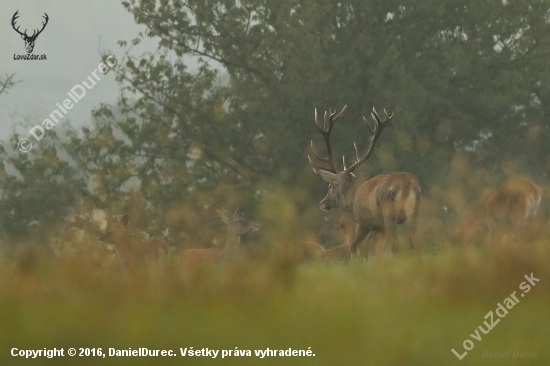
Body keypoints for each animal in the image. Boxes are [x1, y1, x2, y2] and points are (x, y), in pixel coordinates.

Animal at [310, 104, 422, 256]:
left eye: (330, 186)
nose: (322, 203)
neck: (353, 200)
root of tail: (407, 184)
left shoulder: (365, 222)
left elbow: (355, 246)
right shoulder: (379, 228)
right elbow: (374, 249)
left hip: (389, 214)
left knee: (396, 246)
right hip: (414, 211)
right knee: (412, 243)